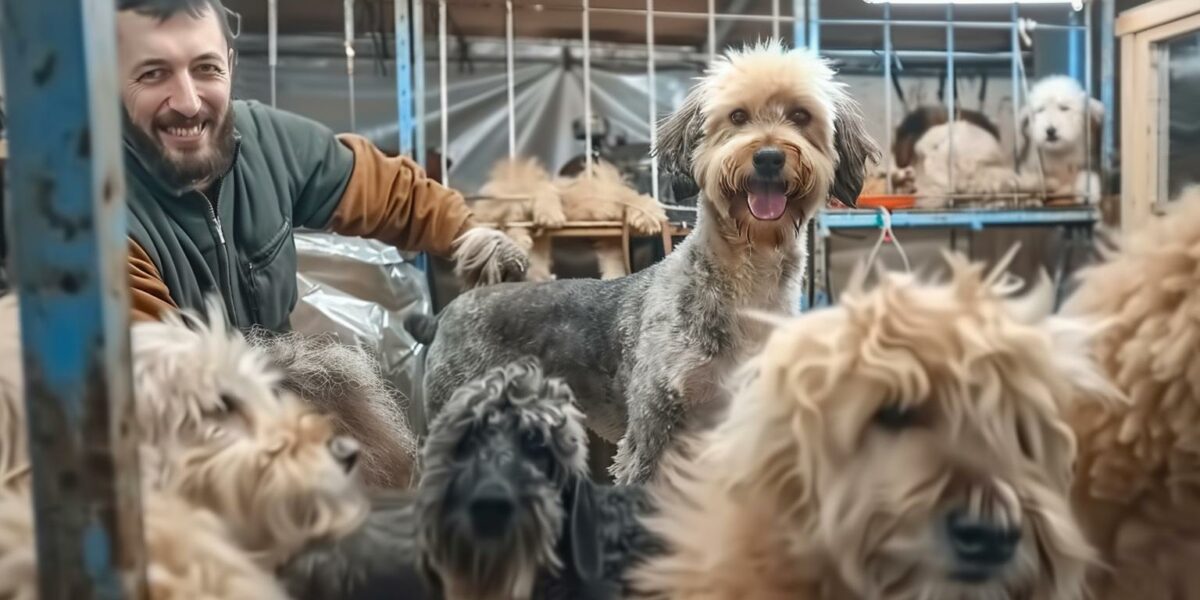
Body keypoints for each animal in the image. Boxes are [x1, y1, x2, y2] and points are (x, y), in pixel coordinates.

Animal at [408, 41, 878, 482]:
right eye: (737, 116)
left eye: (800, 116)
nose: (768, 156)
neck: (745, 282)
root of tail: (444, 314)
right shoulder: (653, 431)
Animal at [1017, 75, 1099, 205]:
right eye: (1040, 110)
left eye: (1064, 108)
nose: (1050, 131)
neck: (1058, 153)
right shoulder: (1030, 166)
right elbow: (1033, 180)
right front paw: (1032, 197)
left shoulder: (1084, 161)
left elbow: (1087, 173)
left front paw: (1088, 192)